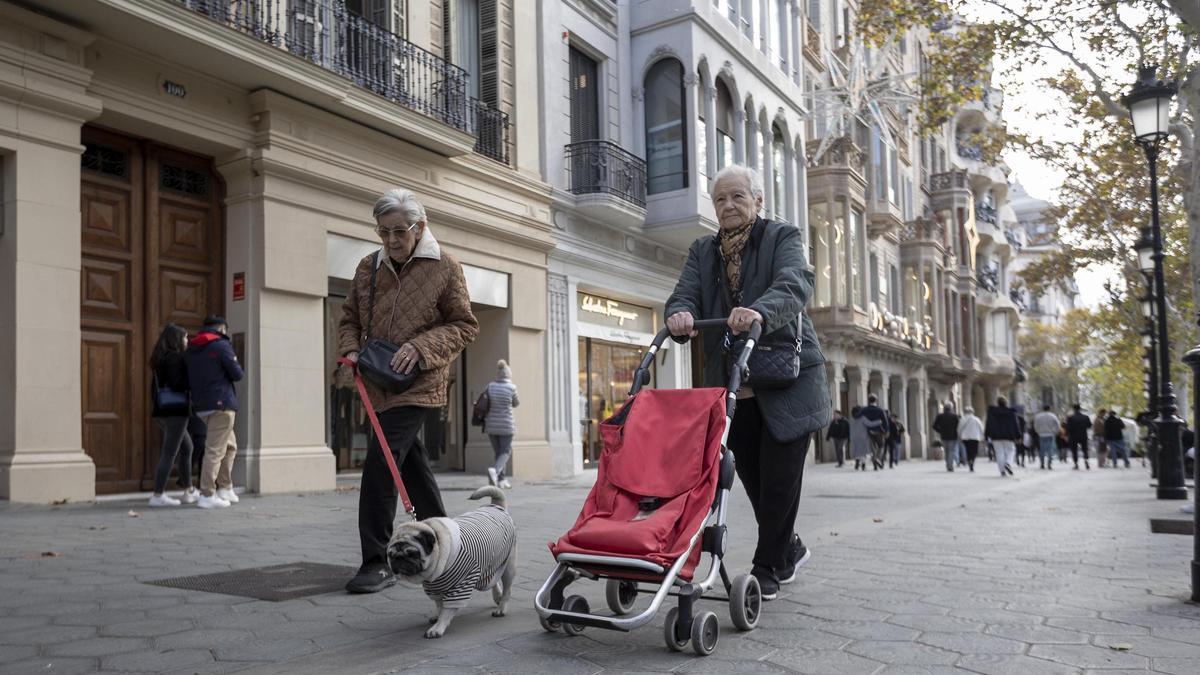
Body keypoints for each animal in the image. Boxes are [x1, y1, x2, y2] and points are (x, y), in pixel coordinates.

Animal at [384, 482, 516, 634]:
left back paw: (501, 607)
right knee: (493, 581)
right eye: (391, 555)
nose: (399, 559)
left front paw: (438, 627)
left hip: (508, 567)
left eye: (412, 553)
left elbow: (447, 611)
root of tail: (496, 506)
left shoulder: (460, 587)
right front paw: (437, 616)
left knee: (507, 589)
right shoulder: (434, 589)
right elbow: (439, 606)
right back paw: (497, 597)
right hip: (488, 566)